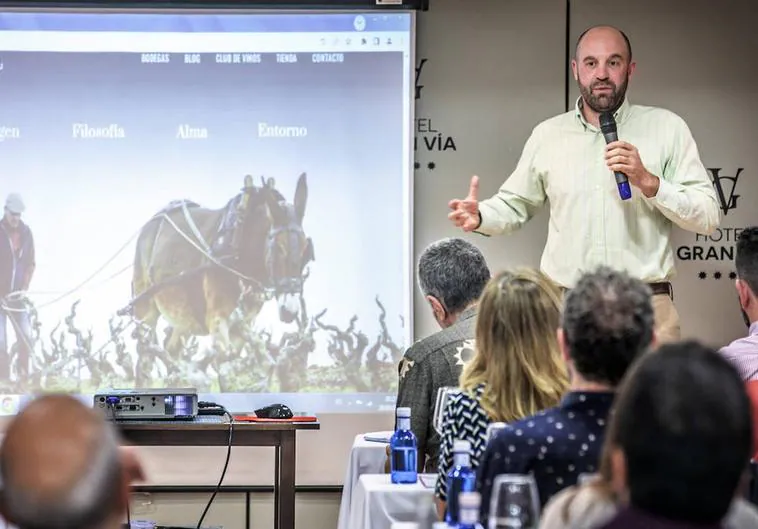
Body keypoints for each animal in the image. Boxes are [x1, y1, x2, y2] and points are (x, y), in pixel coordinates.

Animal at [127, 171, 314, 374]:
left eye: (305, 249)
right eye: (279, 248)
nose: (290, 310)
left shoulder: (243, 325)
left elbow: (234, 364)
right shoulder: (218, 320)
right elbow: (224, 363)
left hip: (183, 316)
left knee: (172, 348)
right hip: (145, 308)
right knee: (145, 355)